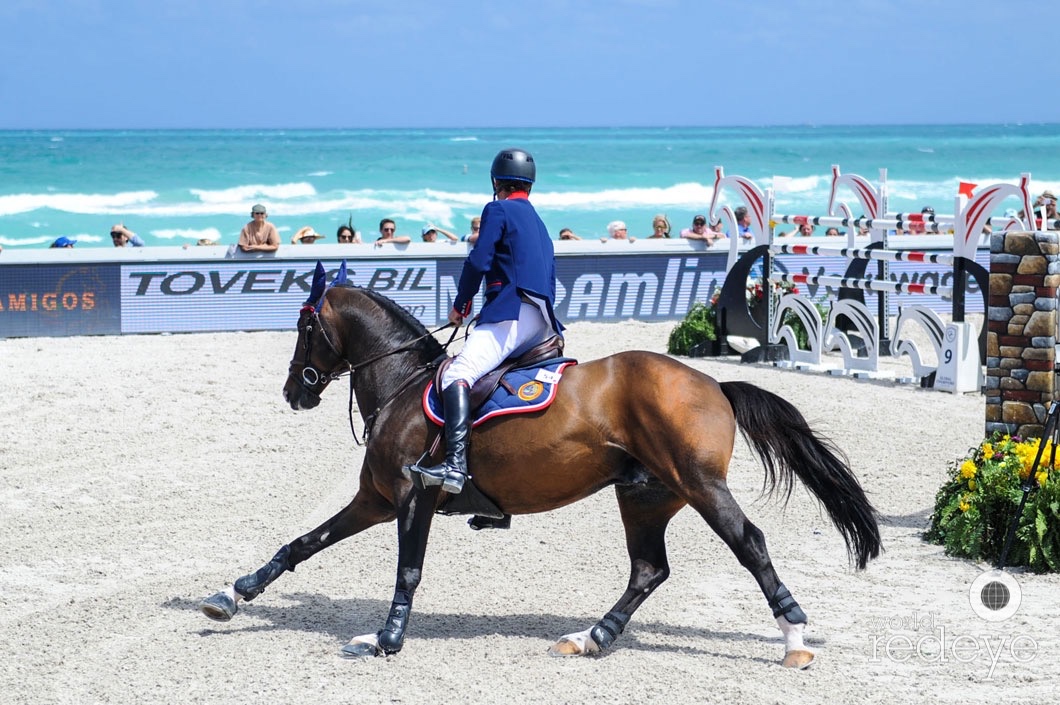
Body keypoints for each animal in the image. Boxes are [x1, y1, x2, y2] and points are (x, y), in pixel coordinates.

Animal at [199, 268, 877, 665]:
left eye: (302, 326)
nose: (295, 391)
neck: (402, 382)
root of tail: (714, 383)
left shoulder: (414, 499)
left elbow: (408, 570)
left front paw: (386, 639)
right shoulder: (377, 499)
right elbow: (301, 543)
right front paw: (232, 595)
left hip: (700, 485)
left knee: (748, 543)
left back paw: (794, 640)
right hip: (645, 495)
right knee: (648, 569)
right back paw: (591, 638)